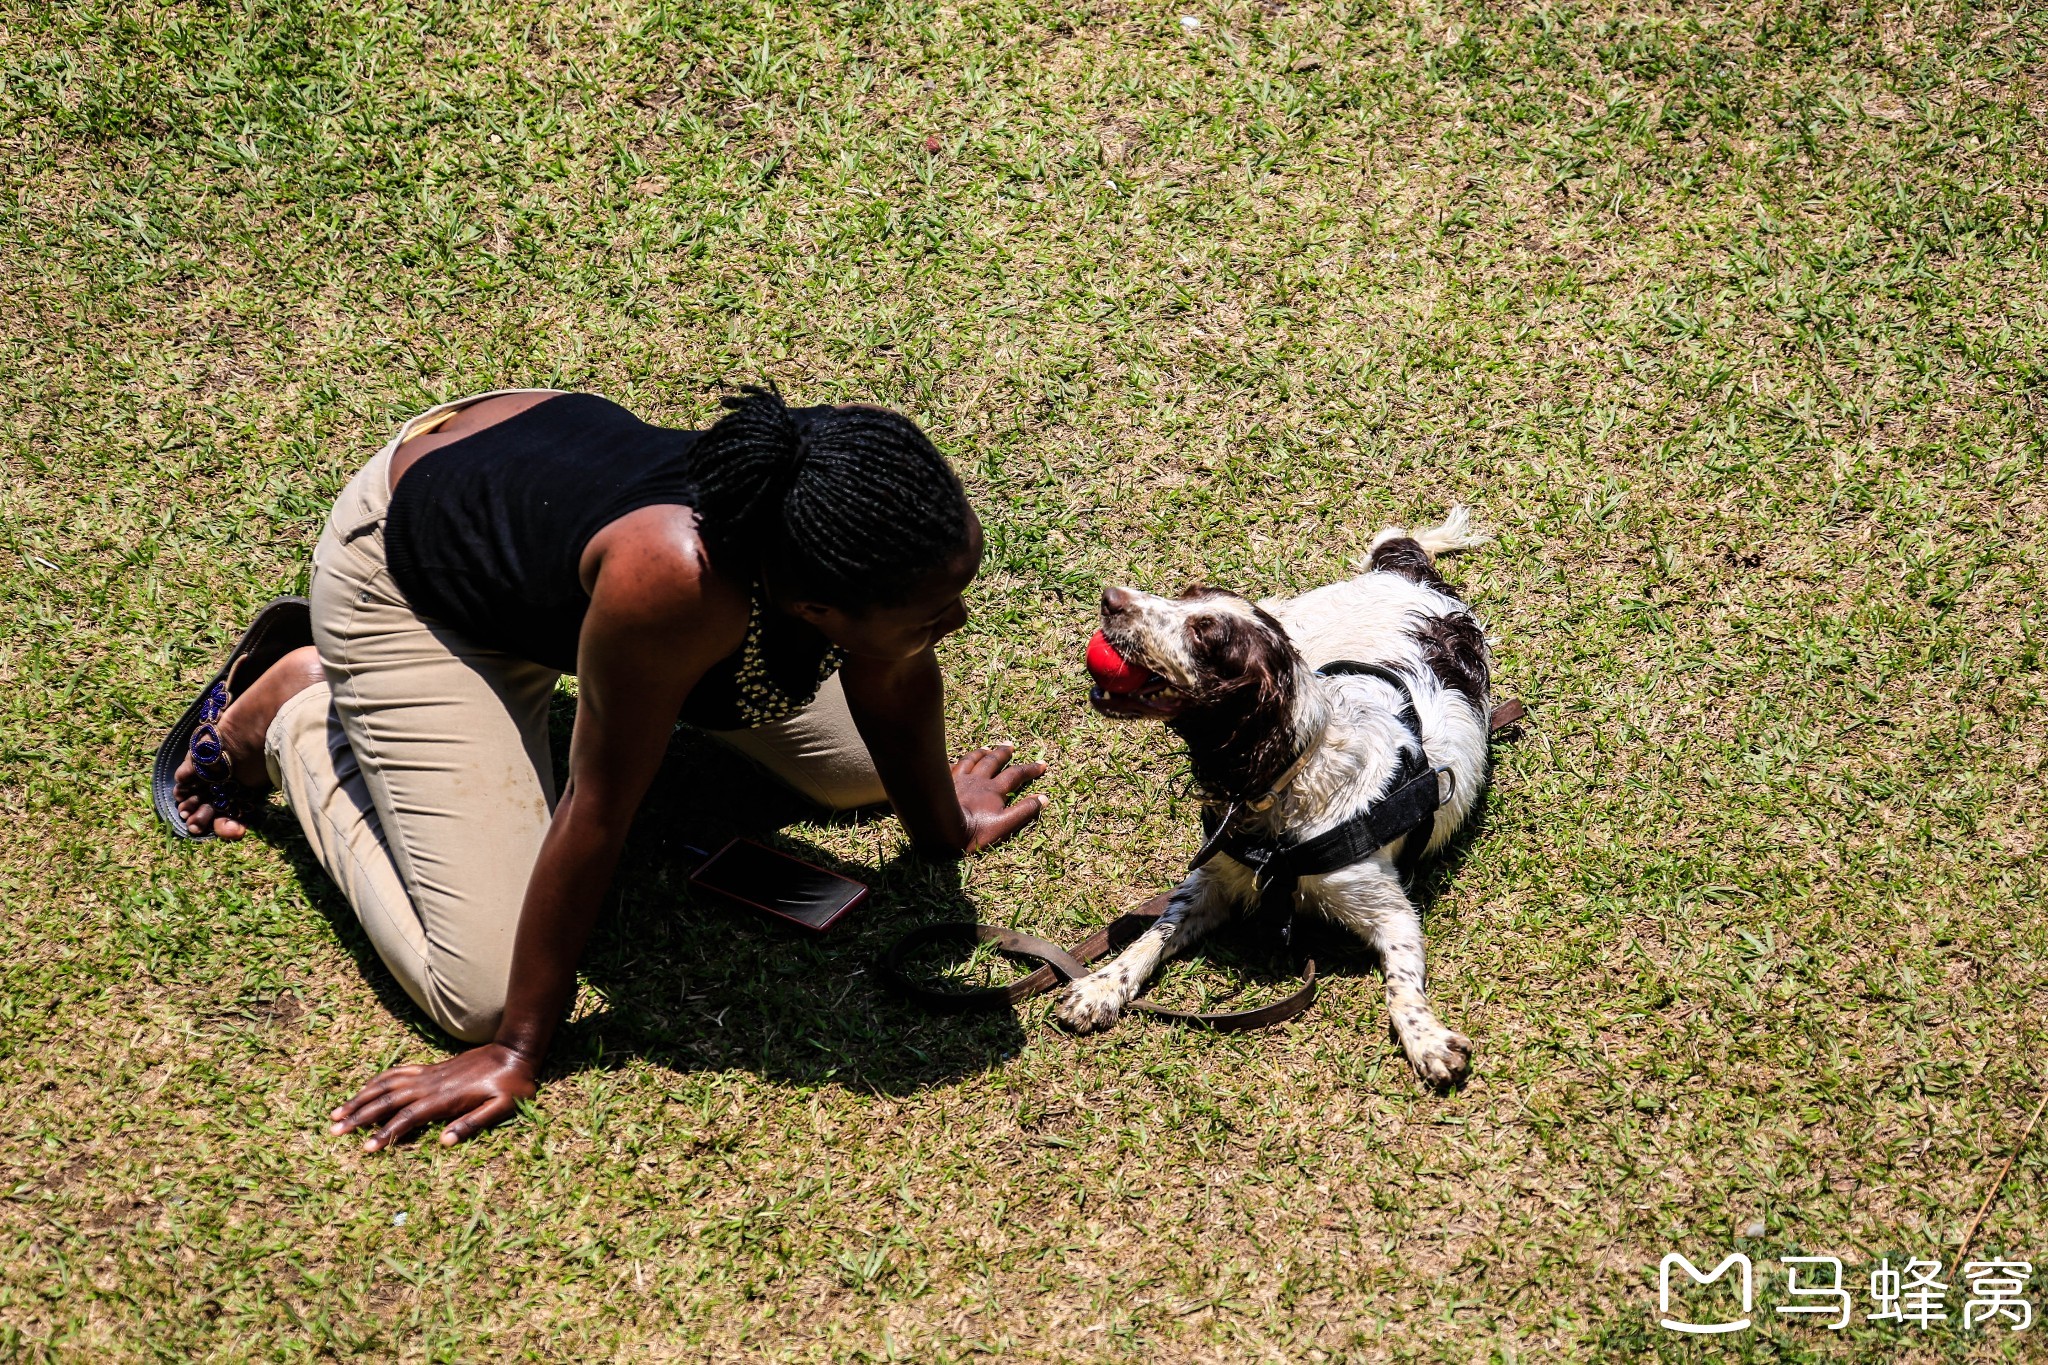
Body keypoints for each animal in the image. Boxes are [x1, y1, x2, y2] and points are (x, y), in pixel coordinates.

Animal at [1064, 507, 1499, 1080]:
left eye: (1205, 633)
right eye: (1186, 594)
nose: (1111, 597)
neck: (1290, 784)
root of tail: (1407, 572)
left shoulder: (1390, 911)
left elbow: (1401, 987)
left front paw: (1424, 1038)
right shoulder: (1212, 879)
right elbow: (1153, 934)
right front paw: (1100, 986)